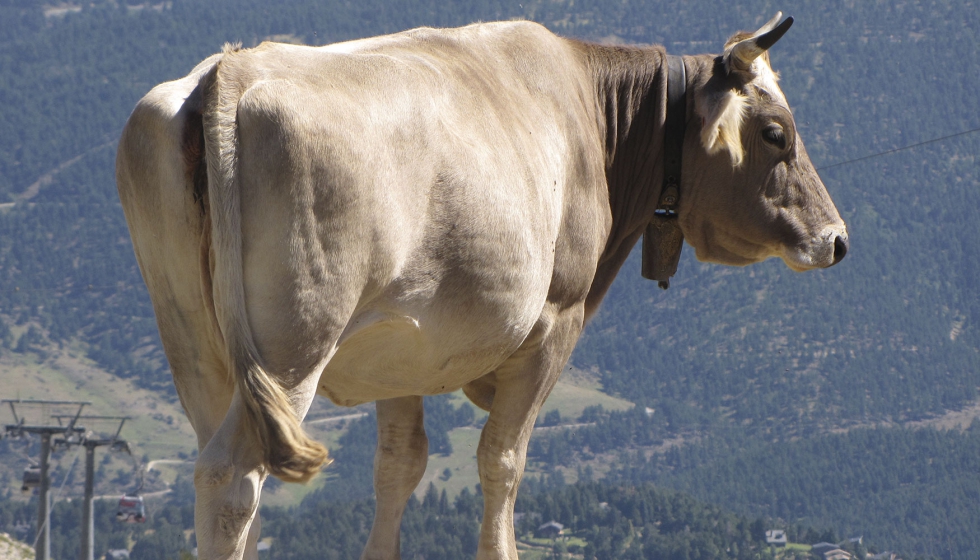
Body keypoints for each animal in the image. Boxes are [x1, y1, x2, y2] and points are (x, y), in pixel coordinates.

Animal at [115, 13, 848, 560]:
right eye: (776, 133)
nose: (837, 237)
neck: (588, 112)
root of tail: (232, 69)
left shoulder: (400, 348)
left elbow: (399, 465)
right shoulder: (555, 322)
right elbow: (503, 461)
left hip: (195, 346)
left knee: (221, 471)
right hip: (293, 343)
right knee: (235, 476)